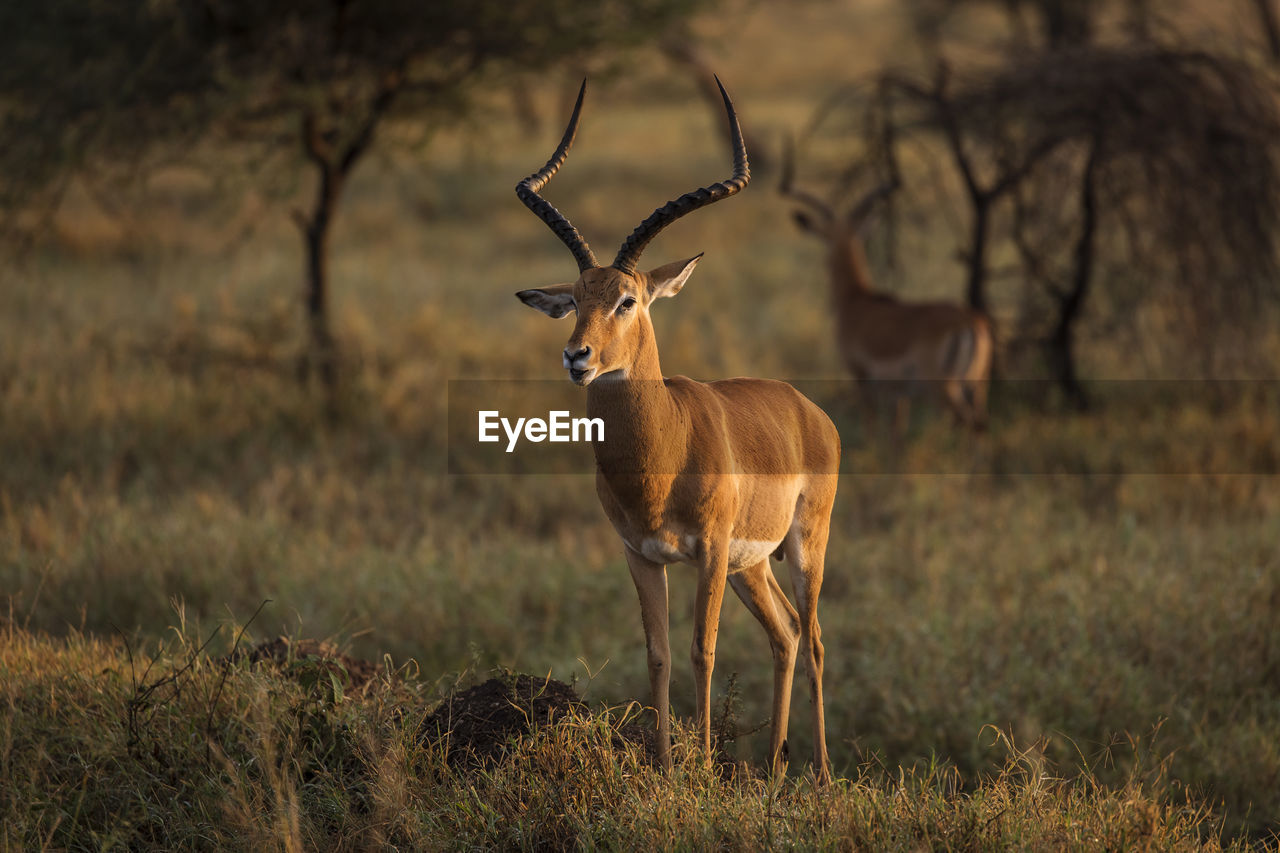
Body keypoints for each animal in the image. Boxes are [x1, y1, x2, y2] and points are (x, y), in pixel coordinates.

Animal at [514, 83, 844, 778]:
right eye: (575, 298)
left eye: (628, 300)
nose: (577, 357)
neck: (665, 449)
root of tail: (807, 407)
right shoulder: (640, 554)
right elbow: (659, 654)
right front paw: (668, 768)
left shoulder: (710, 552)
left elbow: (702, 650)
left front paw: (707, 775)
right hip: (755, 565)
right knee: (786, 634)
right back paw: (774, 770)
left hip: (805, 544)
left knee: (815, 638)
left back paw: (823, 776)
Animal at [778, 146, 988, 432]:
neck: (856, 300)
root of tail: (969, 322)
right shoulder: (898, 394)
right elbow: (896, 432)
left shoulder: (862, 377)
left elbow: (870, 424)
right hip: (977, 386)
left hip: (942, 387)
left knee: (968, 422)